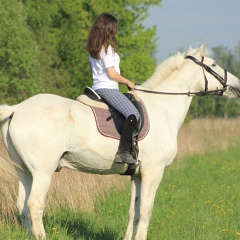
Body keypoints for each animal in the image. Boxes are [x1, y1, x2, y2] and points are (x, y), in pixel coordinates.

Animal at [1, 43, 240, 240]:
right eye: (214, 64)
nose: (237, 85)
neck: (162, 108)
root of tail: (17, 108)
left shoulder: (137, 175)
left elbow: (134, 211)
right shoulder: (153, 172)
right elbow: (146, 211)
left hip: (25, 172)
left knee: (22, 207)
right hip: (43, 171)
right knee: (34, 205)